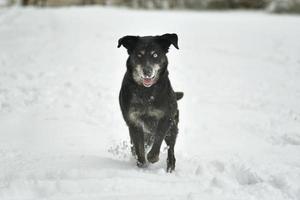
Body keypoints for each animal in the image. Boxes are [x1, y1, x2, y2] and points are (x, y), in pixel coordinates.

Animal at [117, 32, 183, 172]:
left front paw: (152, 157)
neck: (146, 92)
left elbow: (158, 138)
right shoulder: (133, 121)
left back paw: (170, 165)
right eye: (139, 54)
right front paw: (141, 163)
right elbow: (139, 148)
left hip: (173, 127)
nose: (147, 71)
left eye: (155, 55)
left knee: (171, 148)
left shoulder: (166, 118)